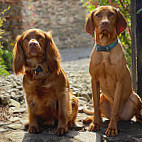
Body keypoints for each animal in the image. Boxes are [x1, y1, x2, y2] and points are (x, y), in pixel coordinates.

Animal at [83, 6, 142, 137]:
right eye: (98, 15)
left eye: (111, 14)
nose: (105, 23)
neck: (105, 50)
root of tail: (122, 117)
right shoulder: (94, 80)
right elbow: (95, 106)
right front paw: (95, 124)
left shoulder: (119, 81)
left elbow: (115, 108)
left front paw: (112, 128)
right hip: (102, 97)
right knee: (100, 112)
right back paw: (91, 119)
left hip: (135, 97)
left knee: (136, 114)